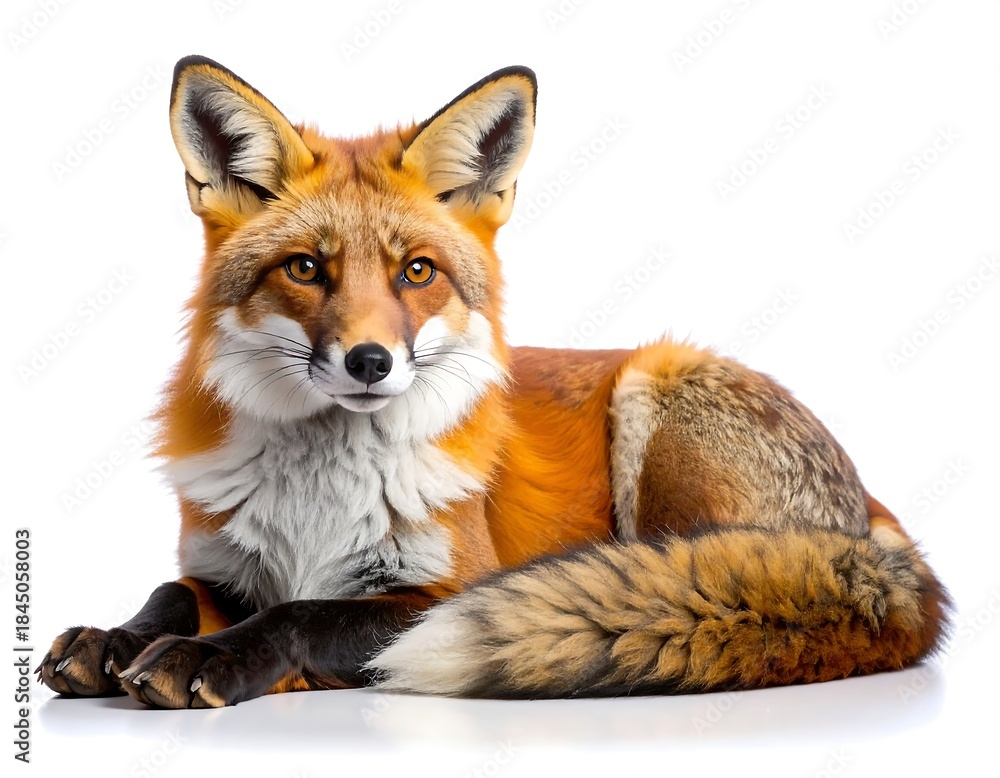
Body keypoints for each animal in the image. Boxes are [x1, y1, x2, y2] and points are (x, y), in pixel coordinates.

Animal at [38, 55, 949, 707]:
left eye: (416, 272)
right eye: (305, 268)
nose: (370, 362)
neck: (316, 502)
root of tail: (877, 520)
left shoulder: (443, 587)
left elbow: (300, 613)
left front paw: (211, 659)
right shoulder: (223, 564)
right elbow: (168, 589)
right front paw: (112, 638)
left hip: (657, 404)